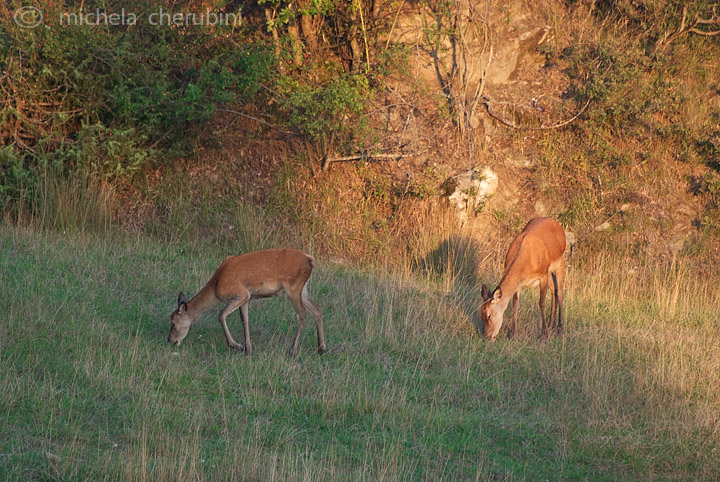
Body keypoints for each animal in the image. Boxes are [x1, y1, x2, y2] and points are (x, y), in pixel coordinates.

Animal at [167, 249, 324, 358]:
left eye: (173, 324)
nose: (170, 341)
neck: (216, 286)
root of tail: (310, 260)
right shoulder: (247, 298)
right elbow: (245, 319)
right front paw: (248, 349)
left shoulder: (240, 294)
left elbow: (221, 315)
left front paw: (237, 345)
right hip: (302, 289)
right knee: (317, 308)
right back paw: (321, 348)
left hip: (293, 287)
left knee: (302, 313)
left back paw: (293, 350)